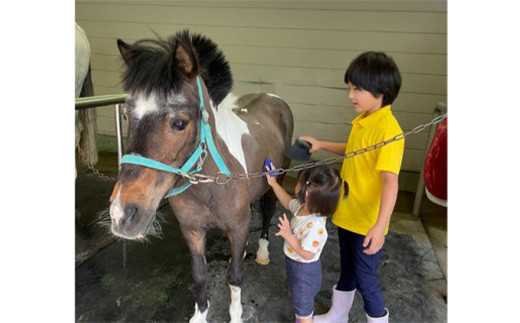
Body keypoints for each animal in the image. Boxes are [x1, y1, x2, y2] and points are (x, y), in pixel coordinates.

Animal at [107, 29, 294, 322]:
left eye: (179, 123)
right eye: (126, 116)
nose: (121, 214)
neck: (210, 184)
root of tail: (274, 98)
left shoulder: (238, 226)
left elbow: (235, 277)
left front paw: (236, 314)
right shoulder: (192, 230)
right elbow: (199, 274)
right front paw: (200, 313)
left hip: (276, 181)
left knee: (267, 212)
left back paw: (262, 252)